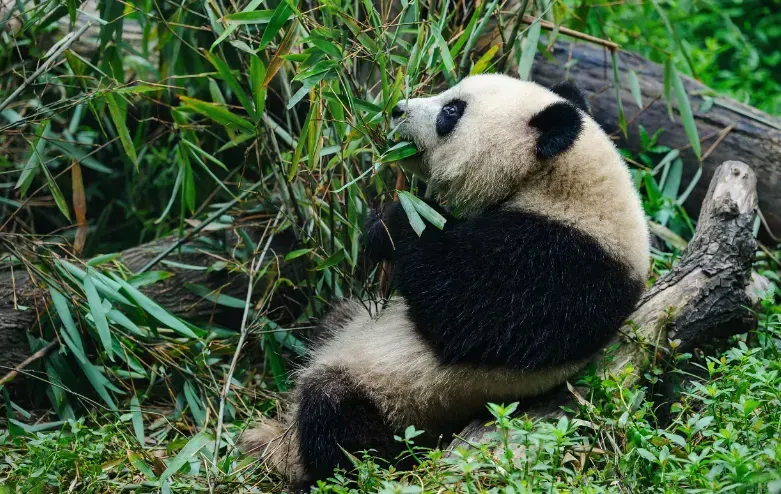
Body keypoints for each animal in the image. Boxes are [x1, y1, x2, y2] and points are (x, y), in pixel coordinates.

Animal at [239, 74, 650, 488]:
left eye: (452, 111)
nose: (396, 109)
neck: (559, 181)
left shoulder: (565, 264)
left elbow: (467, 316)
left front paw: (390, 222)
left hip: (399, 403)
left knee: (338, 420)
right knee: (334, 322)